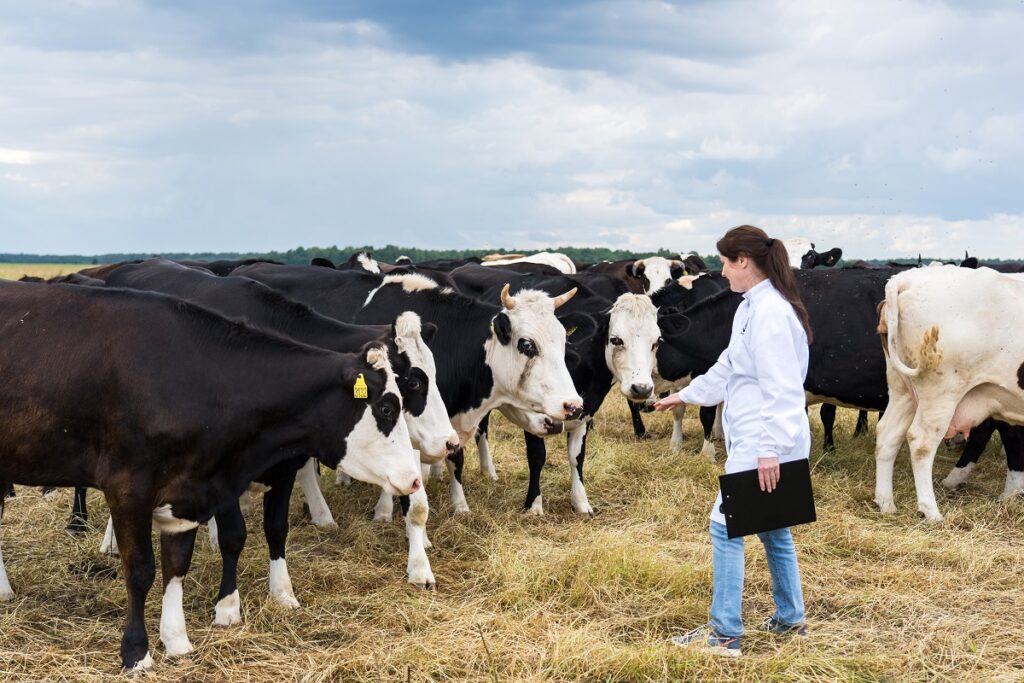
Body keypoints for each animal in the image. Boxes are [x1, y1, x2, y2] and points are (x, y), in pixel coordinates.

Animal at [872, 264, 1024, 520]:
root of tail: (905, 278)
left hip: (903, 389)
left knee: (887, 435)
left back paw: (886, 503)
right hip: (941, 392)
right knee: (921, 442)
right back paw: (931, 512)